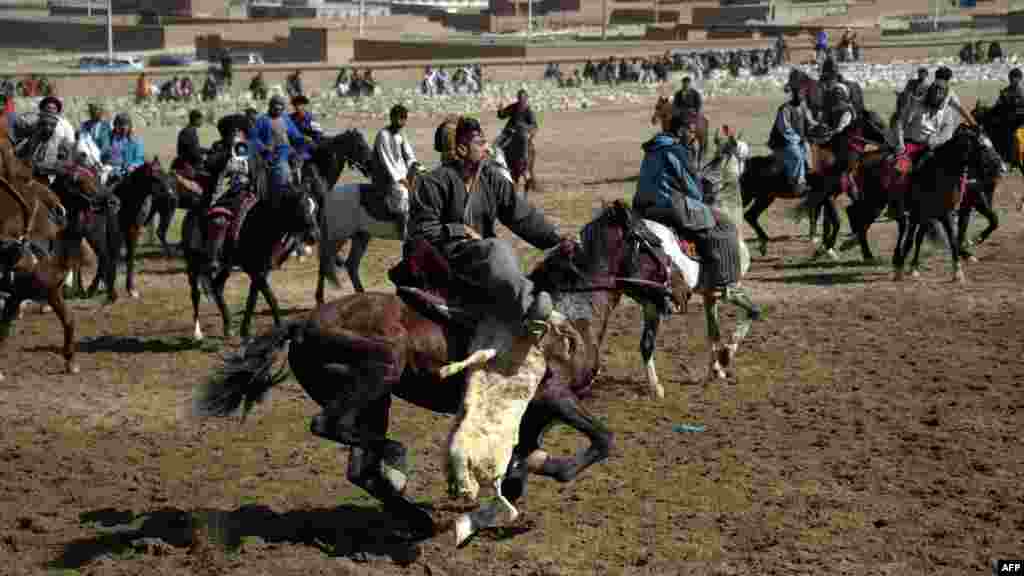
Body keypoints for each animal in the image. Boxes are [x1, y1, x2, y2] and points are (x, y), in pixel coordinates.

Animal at [0, 175, 84, 381]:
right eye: (79, 182)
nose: (60, 210)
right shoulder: (25, 296)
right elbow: (3, 331)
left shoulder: (47, 293)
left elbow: (69, 320)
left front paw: (71, 362)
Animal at [195, 196, 684, 537]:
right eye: (655, 244)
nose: (678, 291)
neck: (571, 310)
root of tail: (301, 325)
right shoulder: (554, 397)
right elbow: (602, 439)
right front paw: (555, 472)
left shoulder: (535, 413)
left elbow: (523, 461)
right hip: (379, 372)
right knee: (331, 428)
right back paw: (397, 459)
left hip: (374, 399)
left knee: (359, 465)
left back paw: (417, 517)